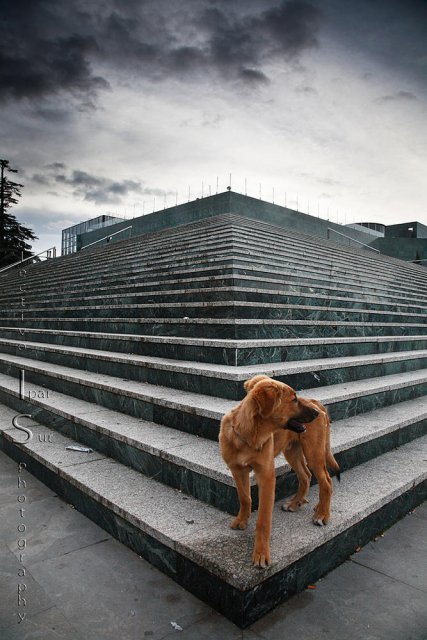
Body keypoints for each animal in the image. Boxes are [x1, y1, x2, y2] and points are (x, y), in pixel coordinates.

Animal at [219, 376, 340, 564]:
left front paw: (261, 554)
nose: (316, 414)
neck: (249, 435)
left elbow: (263, 520)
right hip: (292, 451)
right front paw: (242, 520)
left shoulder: (266, 476)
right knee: (306, 476)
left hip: (314, 452)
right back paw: (297, 503)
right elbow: (244, 498)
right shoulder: (237, 471)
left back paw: (322, 514)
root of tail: (315, 402)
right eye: (294, 399)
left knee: (326, 481)